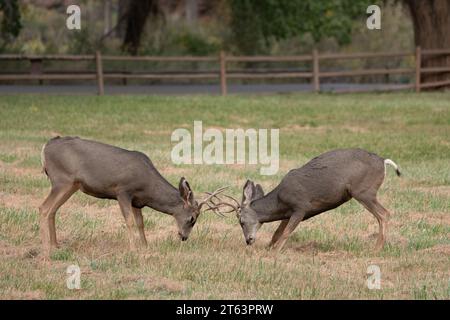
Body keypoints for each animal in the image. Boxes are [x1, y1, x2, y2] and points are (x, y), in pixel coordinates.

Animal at [39, 136, 227, 256]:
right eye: (192, 218)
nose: (184, 237)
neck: (147, 187)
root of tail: (46, 147)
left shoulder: (137, 201)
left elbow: (140, 223)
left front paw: (145, 246)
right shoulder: (122, 191)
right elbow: (129, 221)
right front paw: (134, 249)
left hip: (71, 185)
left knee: (53, 210)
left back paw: (56, 245)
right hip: (61, 180)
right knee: (44, 208)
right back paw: (46, 248)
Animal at [213, 148, 402, 252]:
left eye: (241, 221)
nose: (248, 240)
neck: (279, 202)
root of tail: (383, 161)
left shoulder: (301, 207)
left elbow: (286, 233)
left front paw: (275, 252)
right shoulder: (288, 213)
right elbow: (276, 233)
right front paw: (268, 248)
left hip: (363, 191)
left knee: (384, 214)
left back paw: (376, 249)